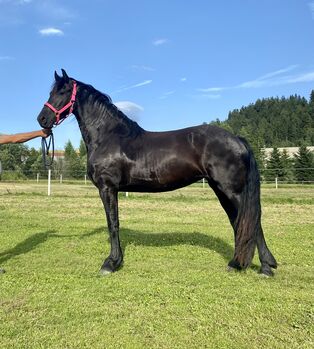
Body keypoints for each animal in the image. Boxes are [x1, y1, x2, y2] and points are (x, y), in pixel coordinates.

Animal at [37, 70, 278, 274]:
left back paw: (264, 267)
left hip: (231, 191)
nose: (42, 119)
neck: (109, 136)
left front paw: (111, 263)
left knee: (252, 223)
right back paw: (243, 263)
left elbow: (113, 224)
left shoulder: (108, 188)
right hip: (222, 190)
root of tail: (237, 139)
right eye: (51, 92)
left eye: (62, 92)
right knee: (239, 222)